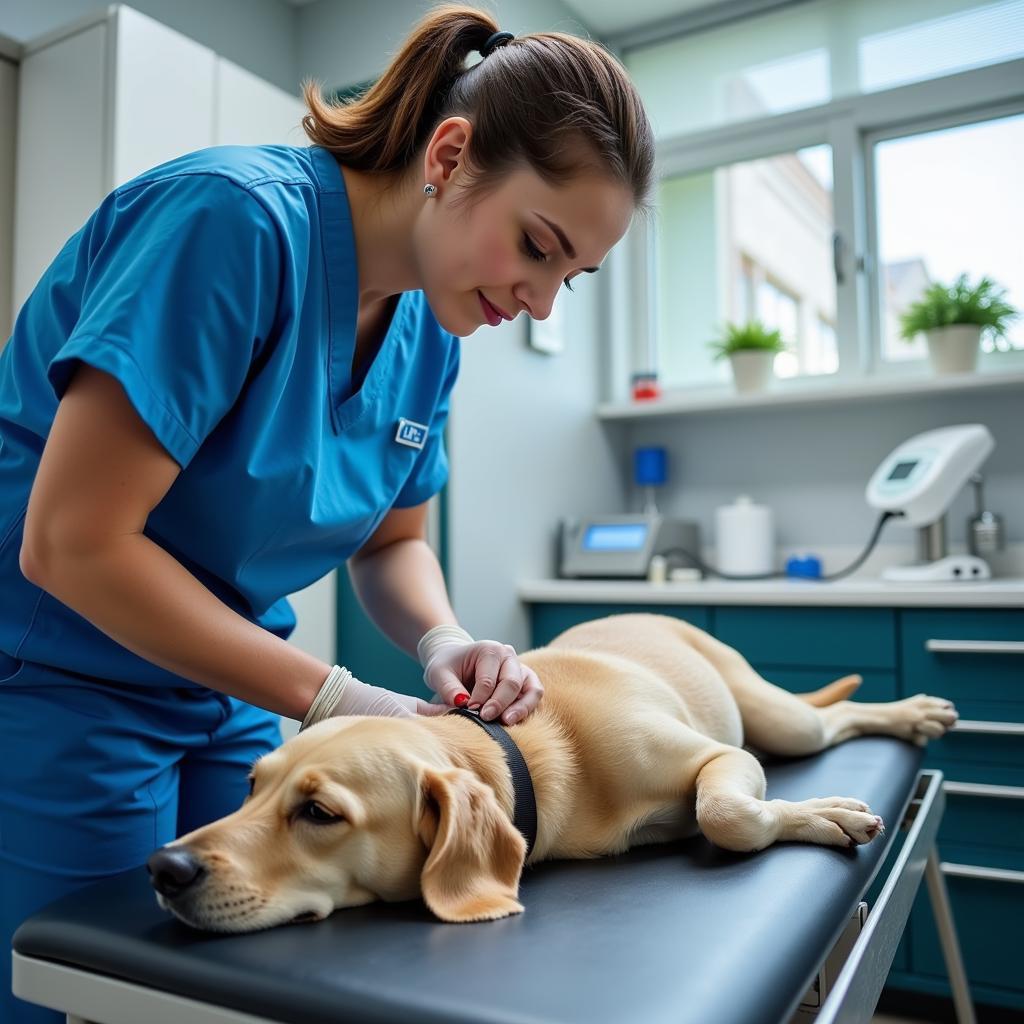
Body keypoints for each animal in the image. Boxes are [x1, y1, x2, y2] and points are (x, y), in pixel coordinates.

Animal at [149, 610, 958, 933]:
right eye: (251, 787)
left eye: (319, 813)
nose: (164, 867)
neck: (519, 757)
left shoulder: (721, 760)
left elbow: (721, 812)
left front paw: (821, 814)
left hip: (774, 717)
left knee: (833, 718)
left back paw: (908, 712)